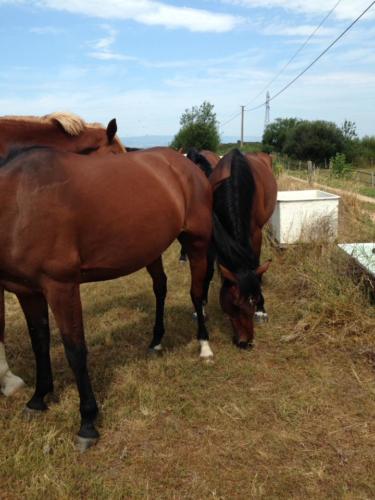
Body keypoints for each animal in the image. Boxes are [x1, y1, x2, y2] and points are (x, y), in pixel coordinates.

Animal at [0, 146, 213, 450]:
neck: (19, 201)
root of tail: (184, 163)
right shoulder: (26, 290)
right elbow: (39, 343)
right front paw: (38, 399)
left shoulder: (62, 287)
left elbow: (76, 351)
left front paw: (87, 423)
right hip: (152, 248)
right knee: (160, 288)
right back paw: (156, 341)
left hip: (196, 241)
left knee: (196, 293)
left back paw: (204, 346)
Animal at [210, 150, 278, 350]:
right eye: (235, 304)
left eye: (254, 300)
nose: (245, 342)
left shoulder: (256, 234)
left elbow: (256, 265)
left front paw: (262, 311)